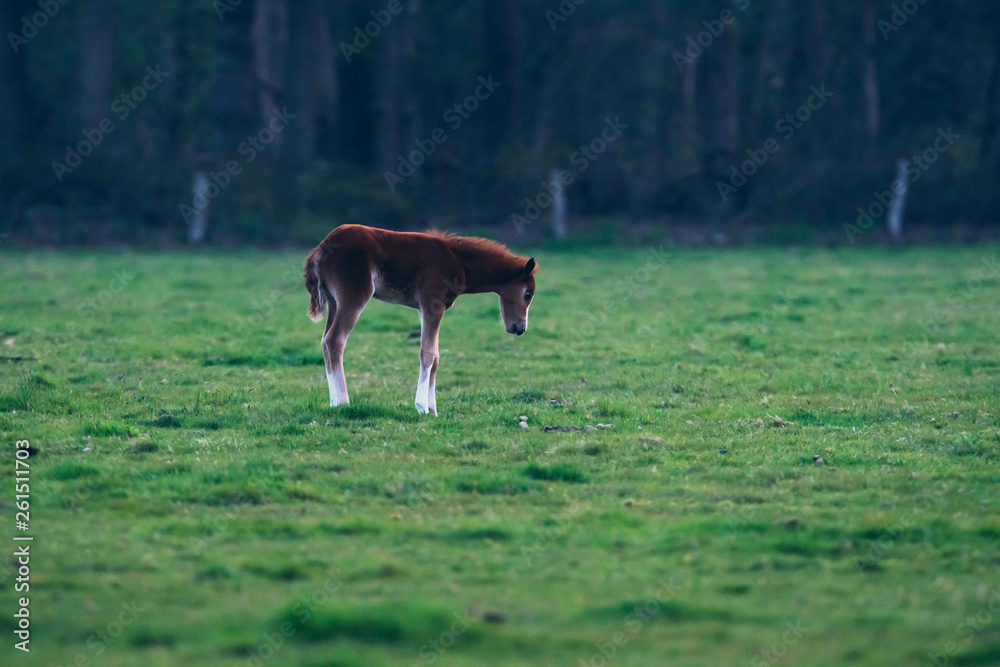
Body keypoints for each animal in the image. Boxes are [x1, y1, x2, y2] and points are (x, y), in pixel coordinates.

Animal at [304, 224, 537, 415]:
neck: (458, 261)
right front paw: (422, 407)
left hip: (334, 302)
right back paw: (342, 402)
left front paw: (433, 410)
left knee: (325, 341)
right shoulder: (432, 306)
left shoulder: (423, 310)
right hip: (354, 297)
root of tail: (321, 248)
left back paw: (333, 402)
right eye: (528, 294)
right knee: (335, 340)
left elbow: (436, 357)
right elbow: (428, 354)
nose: (520, 327)